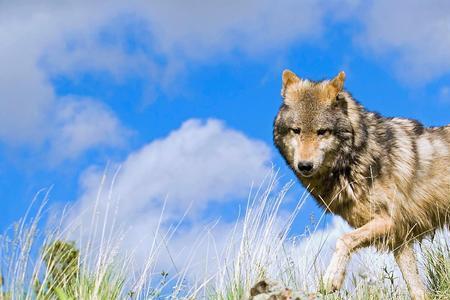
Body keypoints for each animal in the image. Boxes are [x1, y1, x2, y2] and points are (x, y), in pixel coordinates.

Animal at [272, 69, 448, 298]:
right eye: (296, 130)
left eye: (322, 131)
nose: (305, 166)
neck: (358, 156)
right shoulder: (399, 237)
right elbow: (416, 289)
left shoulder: (388, 221)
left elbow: (343, 240)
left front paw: (331, 279)